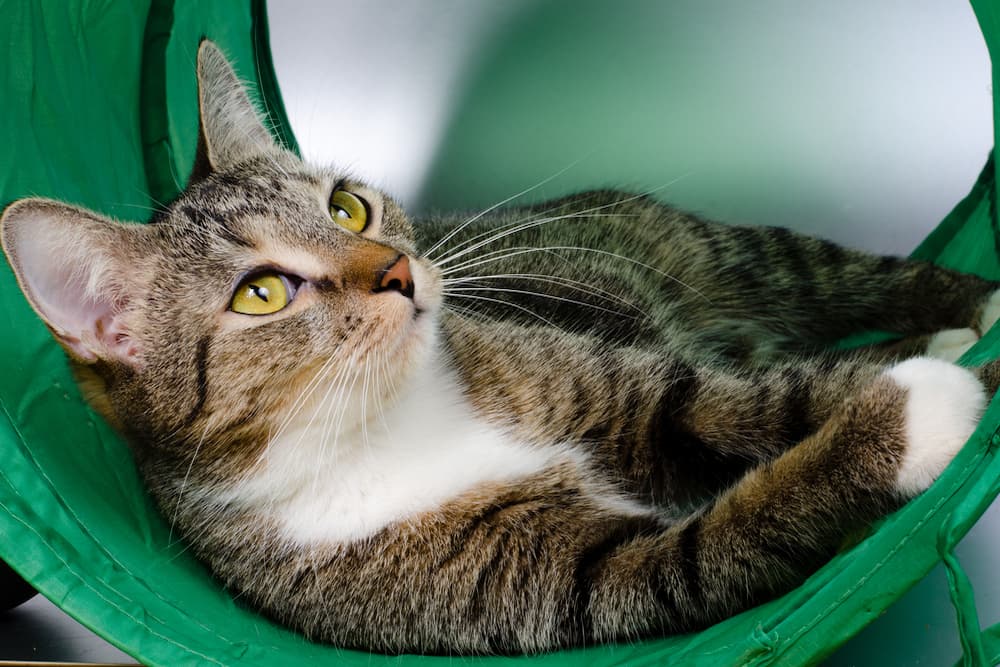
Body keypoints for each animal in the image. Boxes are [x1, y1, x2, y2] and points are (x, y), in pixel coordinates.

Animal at [1, 39, 1000, 656]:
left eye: (347, 207)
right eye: (262, 292)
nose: (399, 270)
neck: (388, 416)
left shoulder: (617, 385)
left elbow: (750, 400)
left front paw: (941, 387)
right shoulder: (555, 580)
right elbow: (714, 539)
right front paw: (917, 415)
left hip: (729, 257)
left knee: (829, 295)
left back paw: (966, 307)